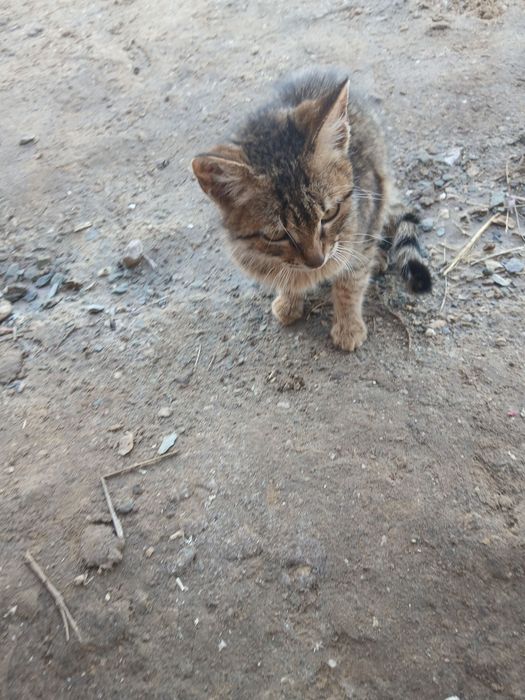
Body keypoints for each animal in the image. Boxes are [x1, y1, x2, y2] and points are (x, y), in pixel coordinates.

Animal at [192, 69, 431, 352]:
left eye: (329, 213)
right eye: (276, 235)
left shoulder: (366, 212)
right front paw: (289, 300)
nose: (317, 261)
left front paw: (348, 327)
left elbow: (351, 281)